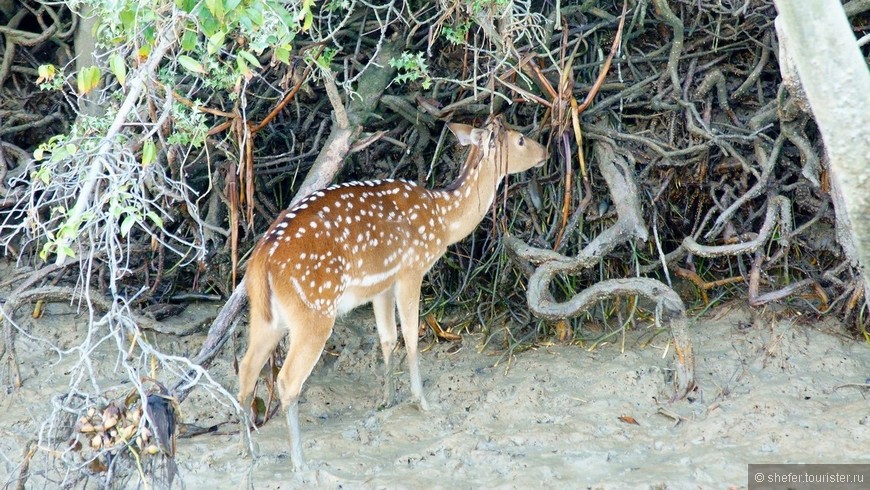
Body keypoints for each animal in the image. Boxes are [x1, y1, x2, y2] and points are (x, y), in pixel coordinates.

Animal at [238, 117, 548, 468]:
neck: (444, 220)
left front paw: (386, 401)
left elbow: (388, 338)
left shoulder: (381, 285)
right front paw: (421, 401)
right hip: (314, 308)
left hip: (264, 315)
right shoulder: (411, 269)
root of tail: (261, 260)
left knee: (245, 369)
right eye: (521, 139)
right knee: (288, 379)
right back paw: (299, 461)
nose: (545, 152)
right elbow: (412, 336)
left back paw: (250, 451)